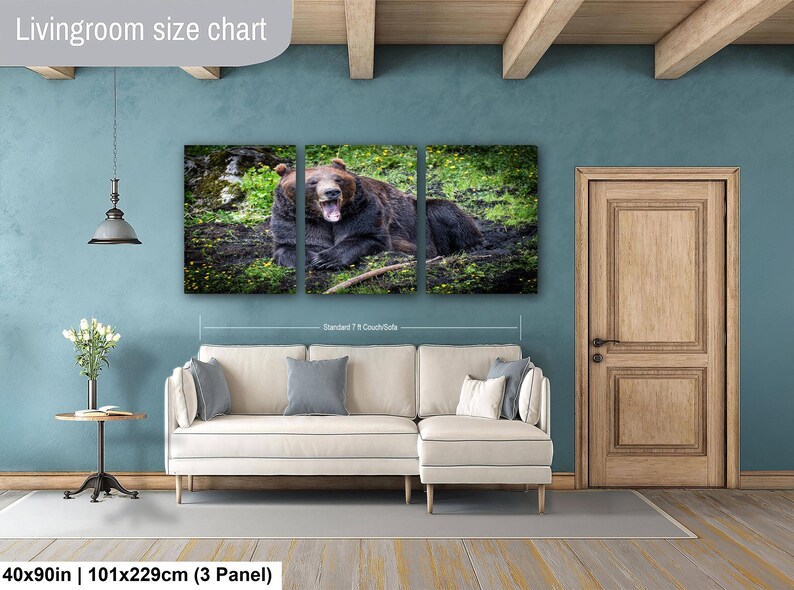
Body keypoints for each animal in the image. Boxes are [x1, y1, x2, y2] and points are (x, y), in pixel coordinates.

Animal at [271, 158, 482, 270]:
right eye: (313, 182)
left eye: (338, 179)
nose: (332, 192)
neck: (325, 220)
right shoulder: (291, 218)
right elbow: (288, 245)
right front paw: (309, 258)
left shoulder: (363, 210)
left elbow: (366, 237)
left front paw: (325, 259)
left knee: (443, 210)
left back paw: (472, 246)